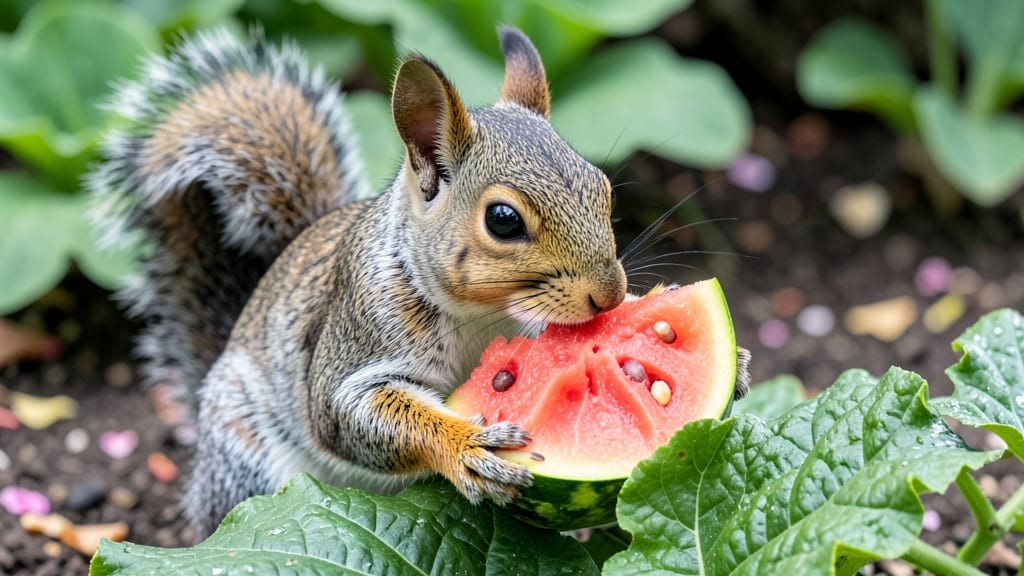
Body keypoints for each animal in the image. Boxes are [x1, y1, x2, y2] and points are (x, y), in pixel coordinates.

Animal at [89, 26, 750, 540]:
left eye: (604, 189)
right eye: (503, 219)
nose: (609, 297)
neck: (484, 315)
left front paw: (736, 364)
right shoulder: (357, 340)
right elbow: (350, 415)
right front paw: (465, 447)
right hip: (247, 462)